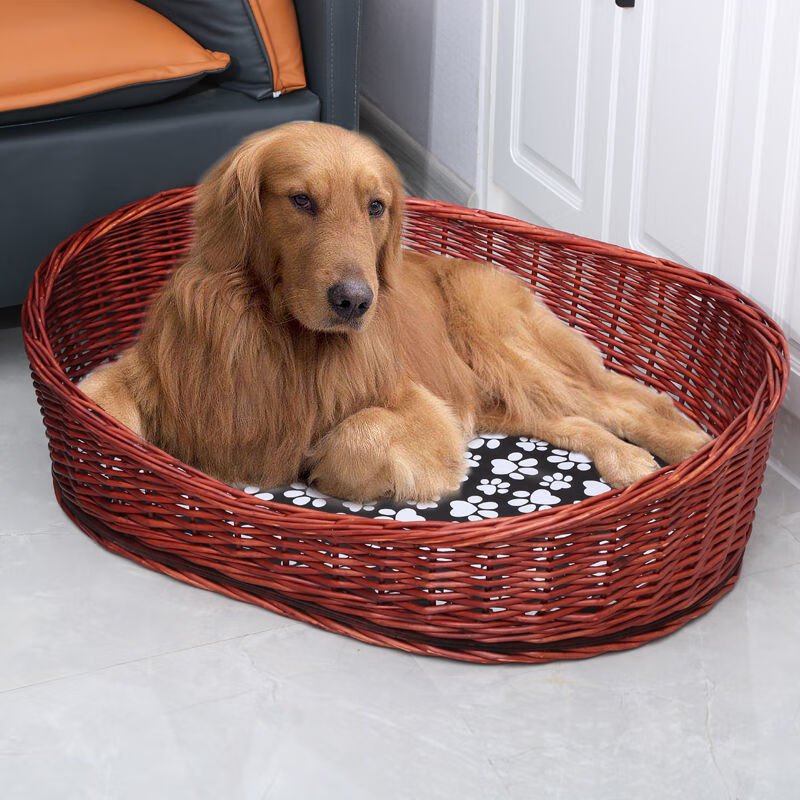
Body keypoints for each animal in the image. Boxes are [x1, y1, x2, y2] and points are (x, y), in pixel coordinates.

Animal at [79, 122, 711, 503]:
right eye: (301, 200)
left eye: (376, 206)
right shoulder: (162, 369)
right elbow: (101, 395)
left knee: (632, 403)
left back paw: (692, 449)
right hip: (507, 401)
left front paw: (318, 461)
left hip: (505, 346)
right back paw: (631, 460)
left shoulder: (424, 411)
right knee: (583, 422)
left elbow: (357, 436)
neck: (282, 337)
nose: (354, 301)